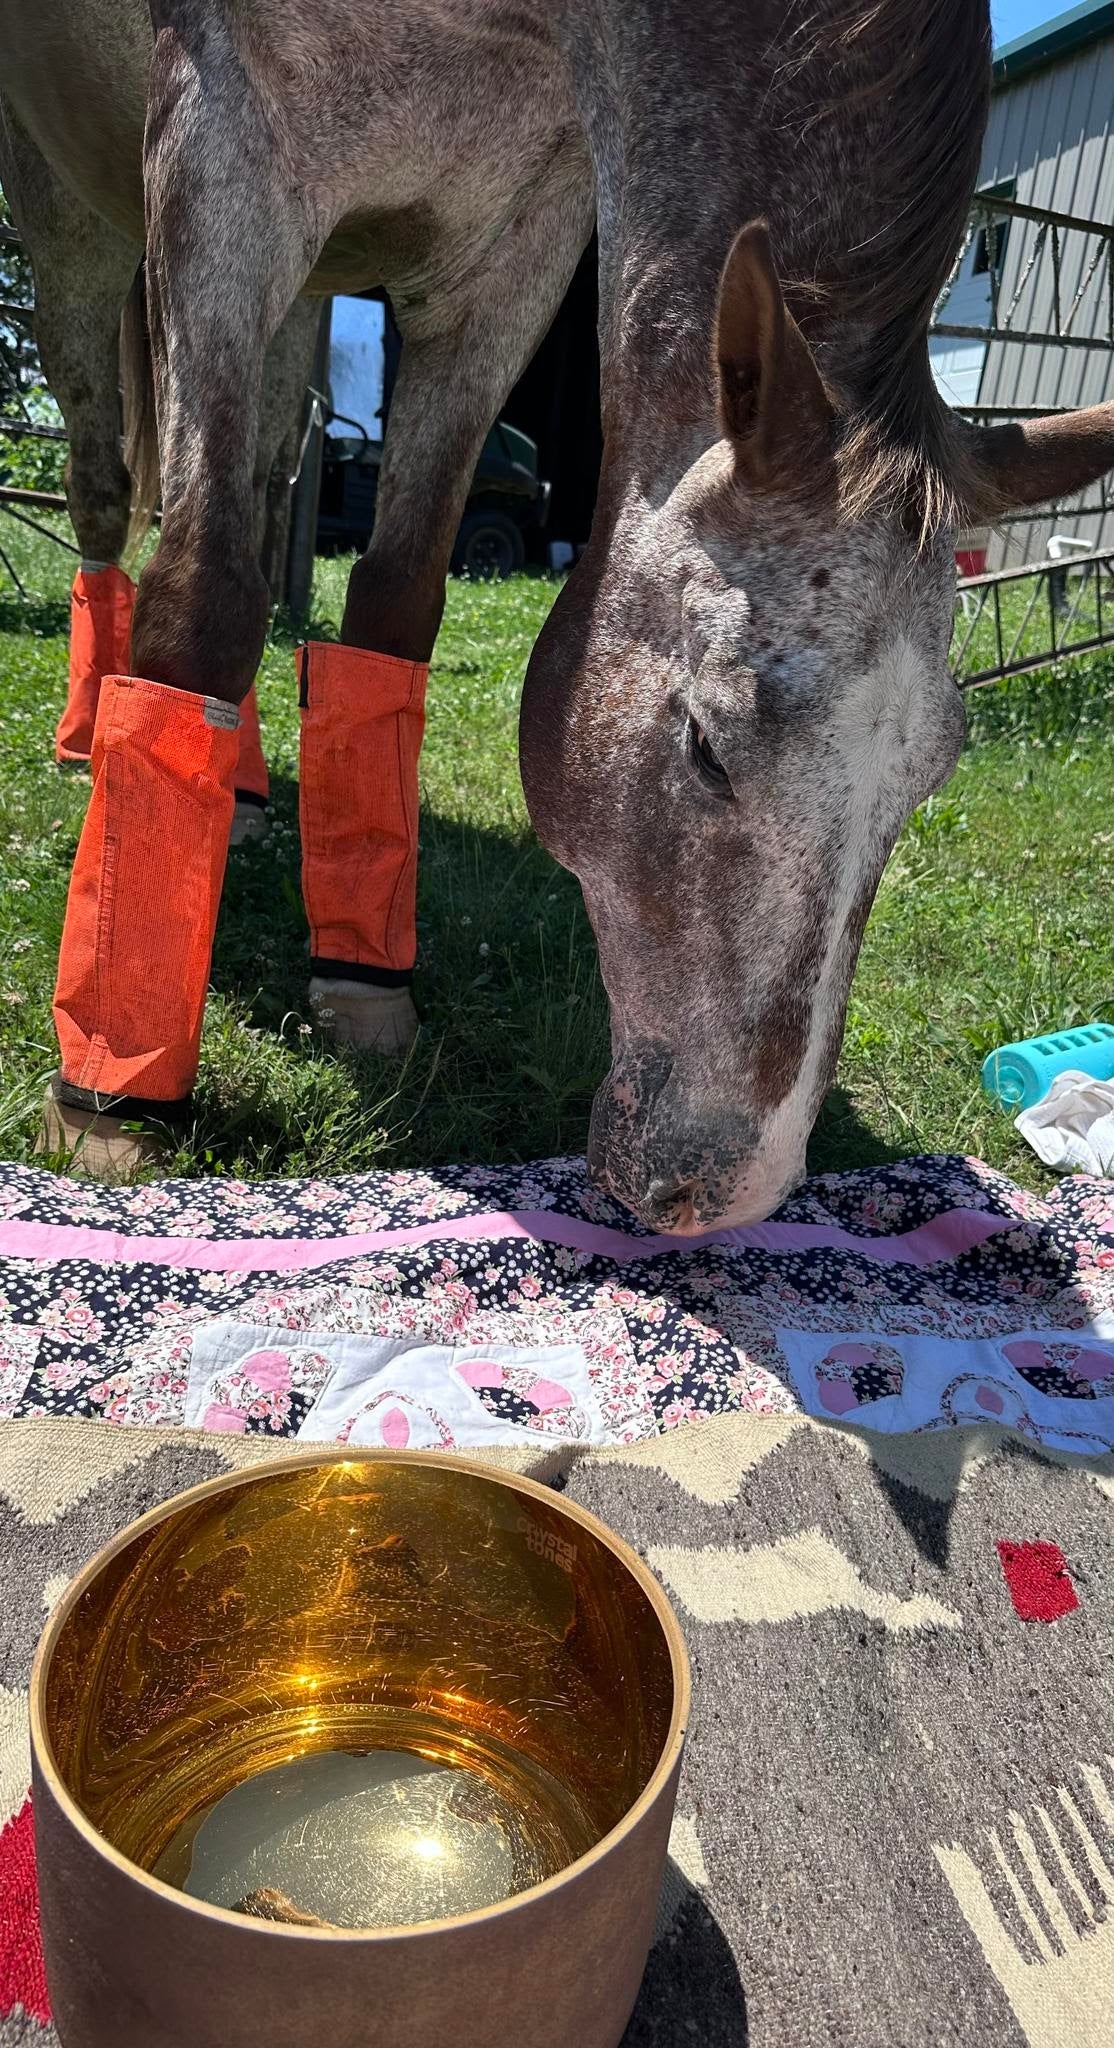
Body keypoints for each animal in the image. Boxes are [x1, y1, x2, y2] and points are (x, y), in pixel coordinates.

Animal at [1, 0, 1112, 1220]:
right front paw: (113, 1096)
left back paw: (237, 789)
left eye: (931, 770)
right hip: (73, 224)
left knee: (251, 499)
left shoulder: (515, 247)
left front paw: (362, 978)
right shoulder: (220, 137)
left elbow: (393, 601)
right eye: (706, 746)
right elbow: (200, 600)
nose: (732, 1192)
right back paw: (90, 734)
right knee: (115, 500)